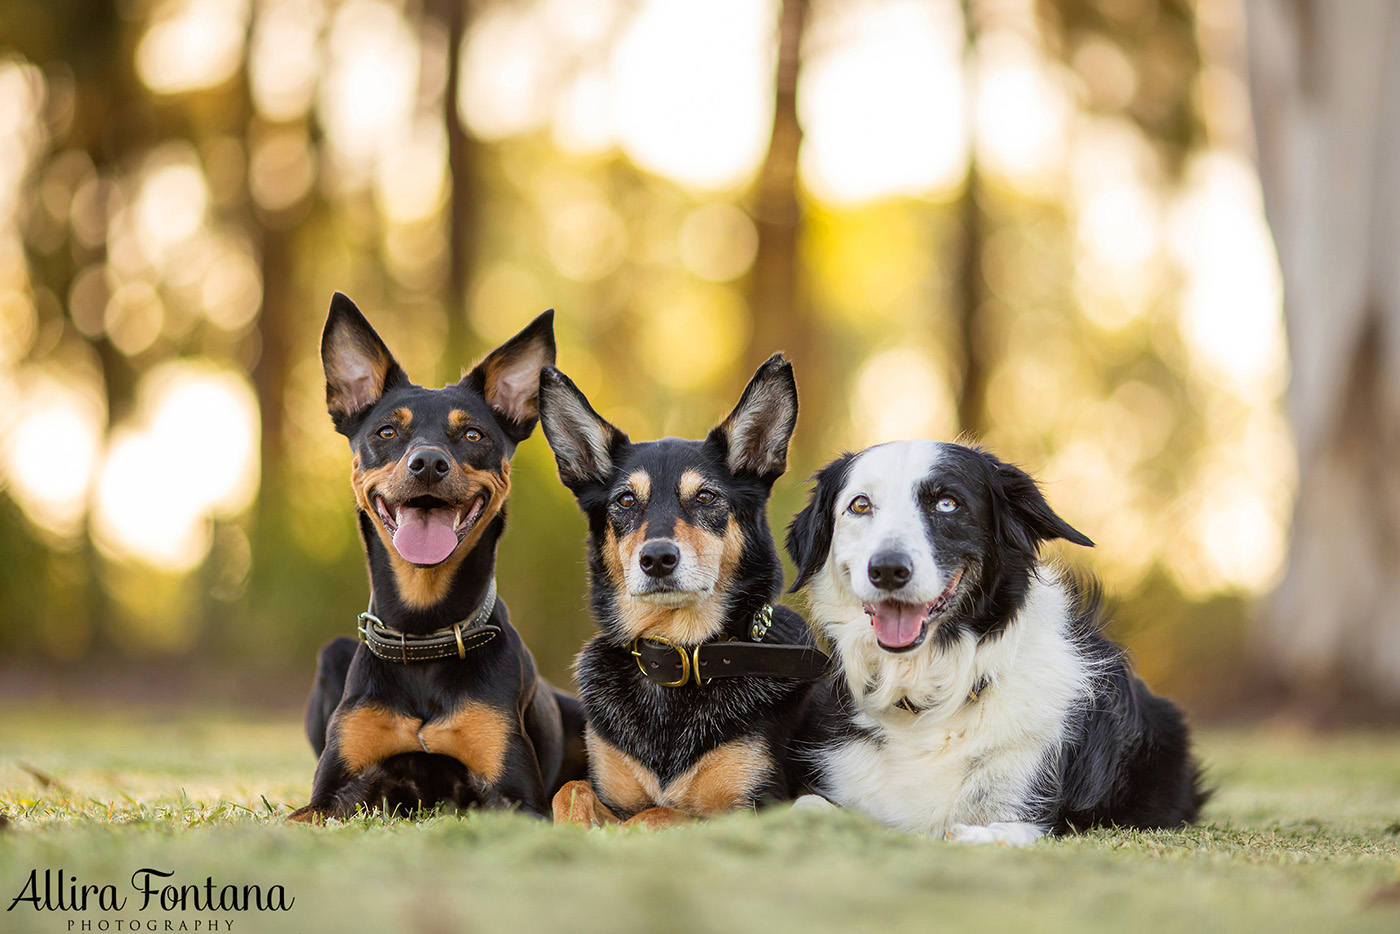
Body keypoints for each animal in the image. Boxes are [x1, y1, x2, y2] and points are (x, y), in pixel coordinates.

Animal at [289, 294, 585, 823]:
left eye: (473, 436)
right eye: (387, 431)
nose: (428, 463)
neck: (425, 633)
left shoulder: (517, 797)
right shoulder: (330, 795)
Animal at [537, 355, 823, 823]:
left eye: (706, 496)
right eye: (625, 500)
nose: (656, 558)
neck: (679, 654)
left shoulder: (751, 807)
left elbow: (659, 812)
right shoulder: (611, 791)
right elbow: (570, 790)